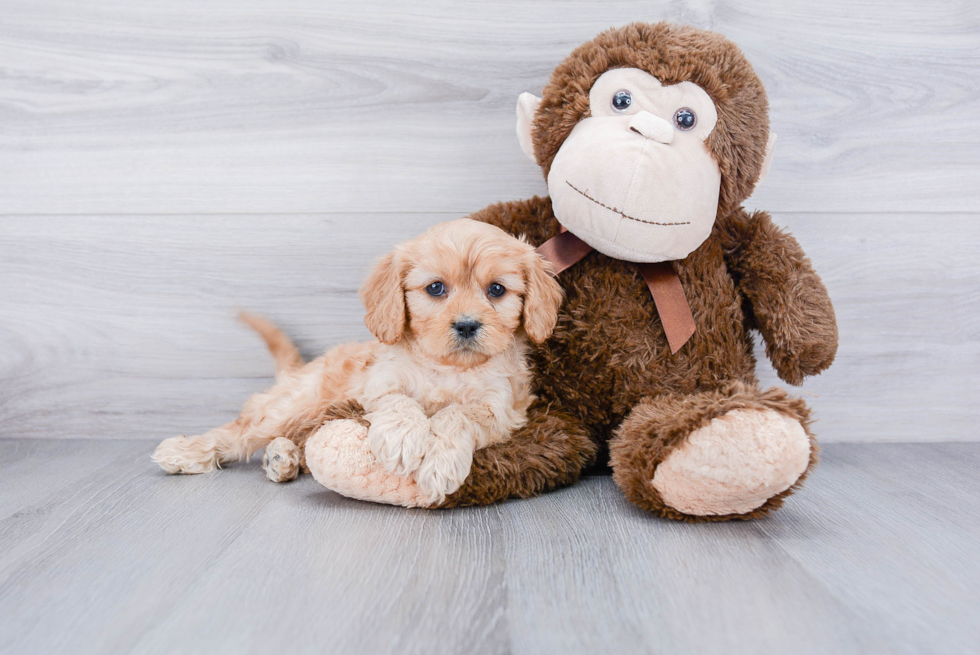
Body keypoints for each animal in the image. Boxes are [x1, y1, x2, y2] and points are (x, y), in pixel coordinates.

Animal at [150, 219, 564, 502]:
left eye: (496, 289)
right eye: (435, 288)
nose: (466, 325)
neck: (447, 367)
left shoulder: (501, 409)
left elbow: (456, 414)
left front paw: (439, 461)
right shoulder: (378, 383)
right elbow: (400, 401)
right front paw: (402, 437)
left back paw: (282, 458)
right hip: (293, 405)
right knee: (239, 431)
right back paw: (188, 451)